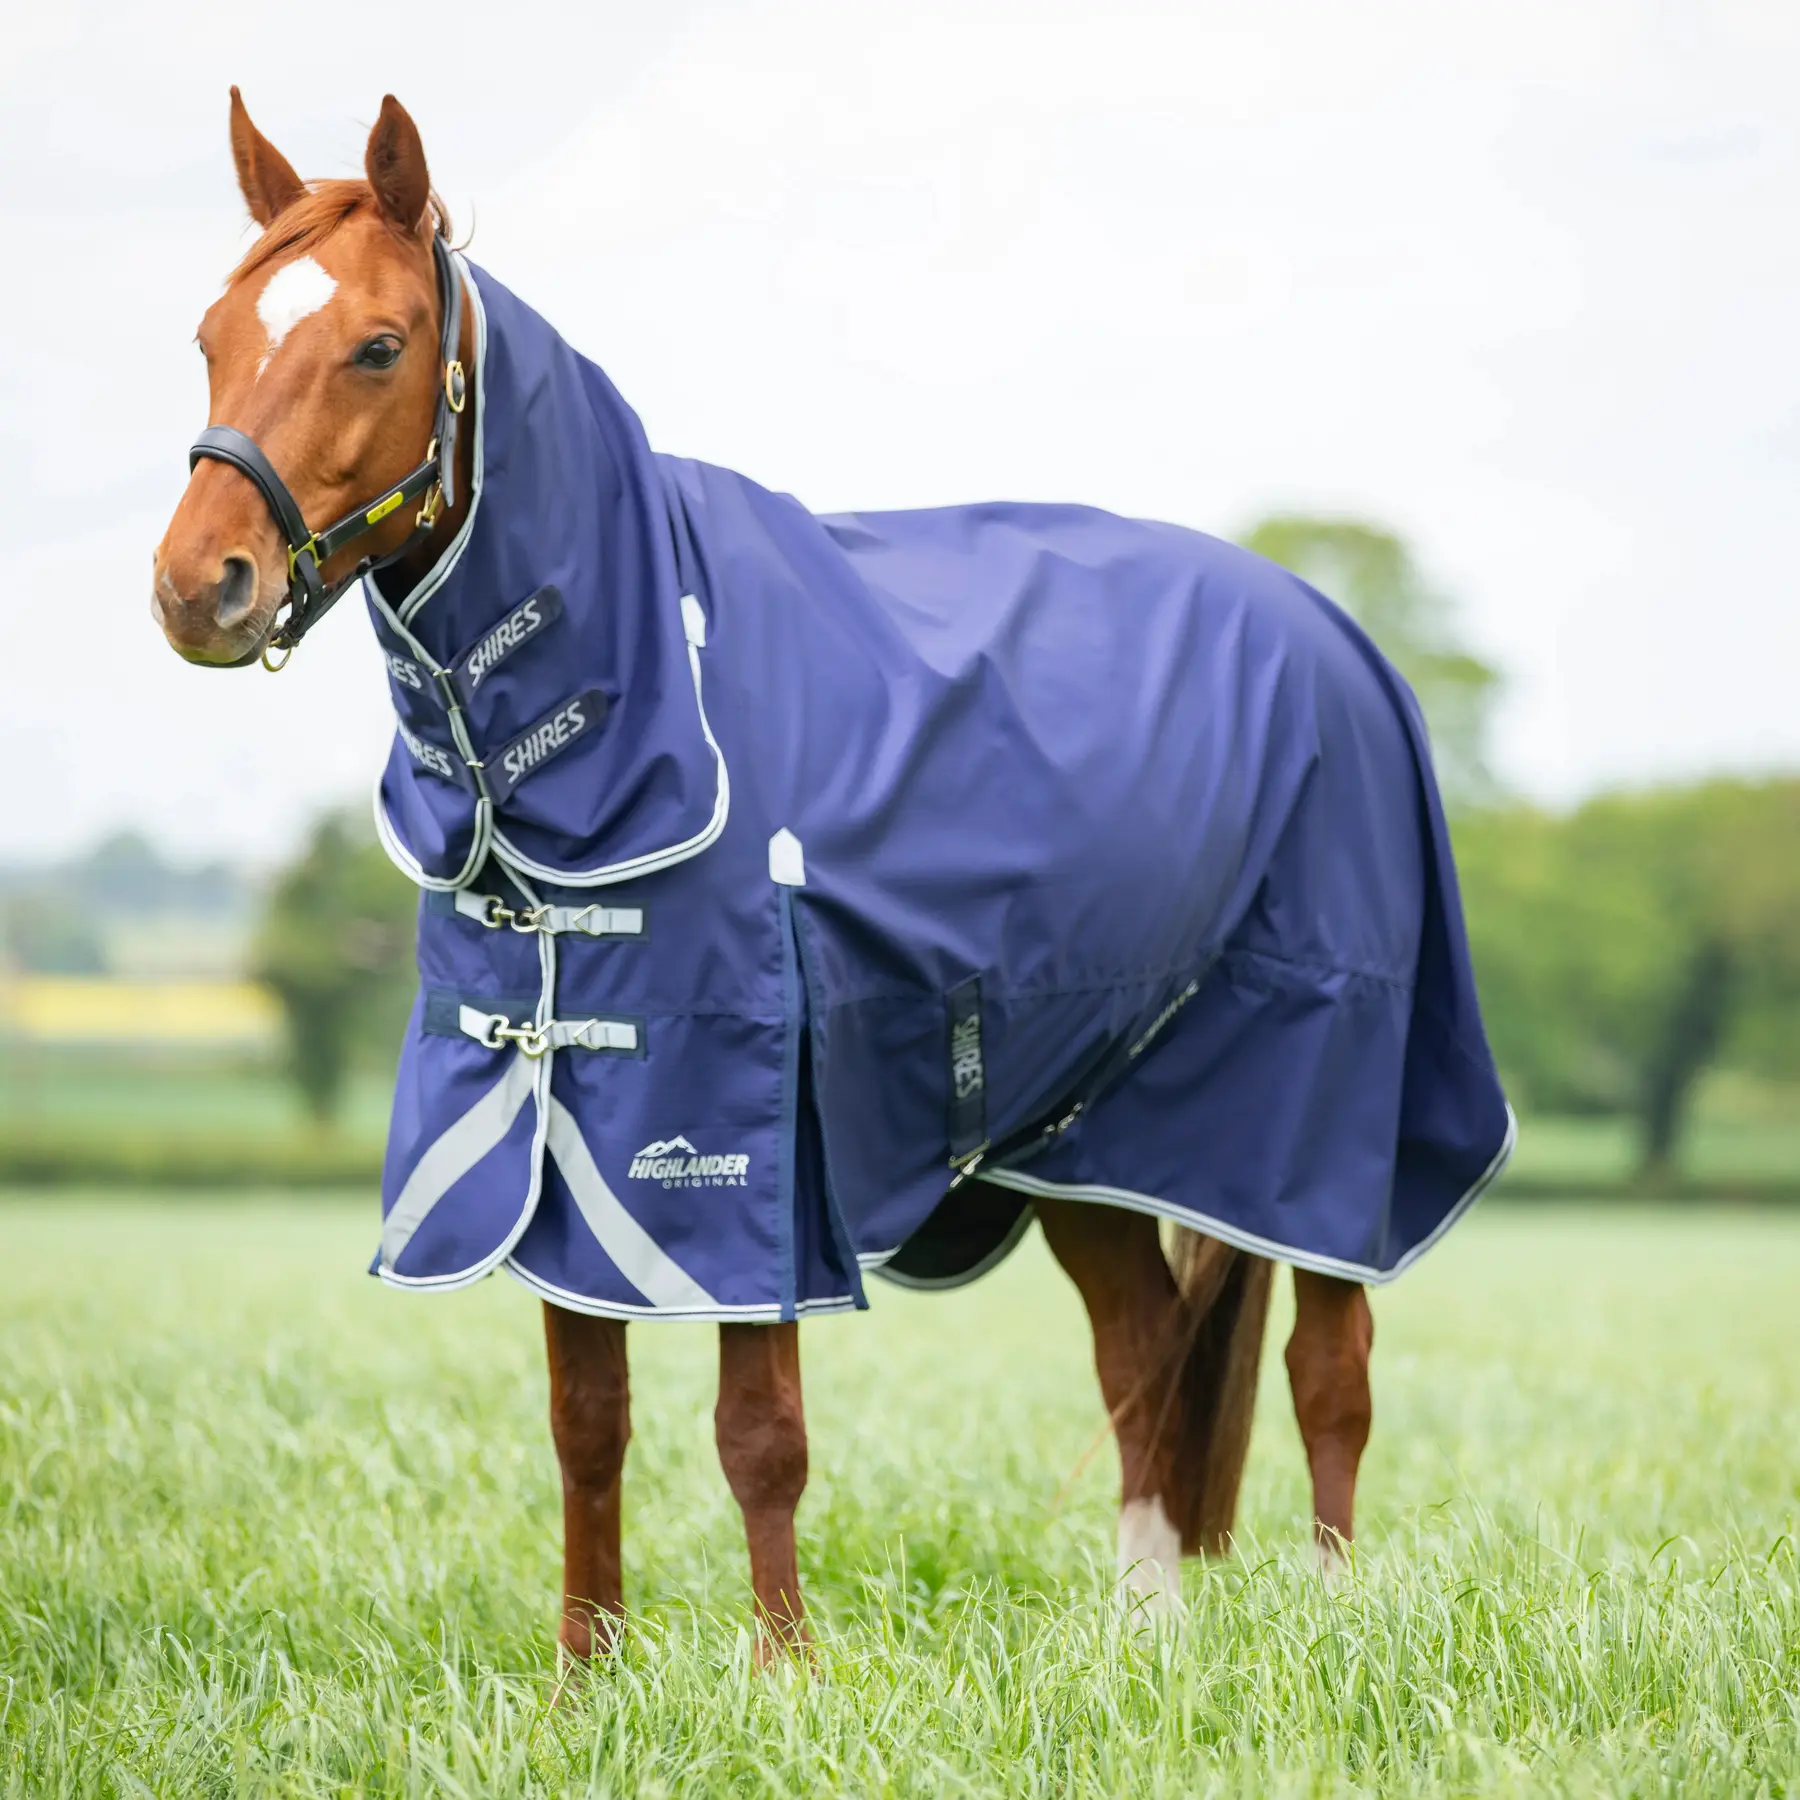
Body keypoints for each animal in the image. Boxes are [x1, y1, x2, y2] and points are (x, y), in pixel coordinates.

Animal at [152, 92, 1510, 1663]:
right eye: (211, 333)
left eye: (377, 344)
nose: (198, 587)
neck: (643, 698)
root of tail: (1338, 640)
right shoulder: (558, 1111)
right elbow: (586, 1422)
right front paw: (583, 1680)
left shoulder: (750, 1128)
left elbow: (760, 1433)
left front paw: (784, 1672)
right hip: (1087, 1140)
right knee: (1144, 1354)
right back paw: (1146, 1636)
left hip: (1319, 1105)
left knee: (1329, 1368)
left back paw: (1337, 1617)